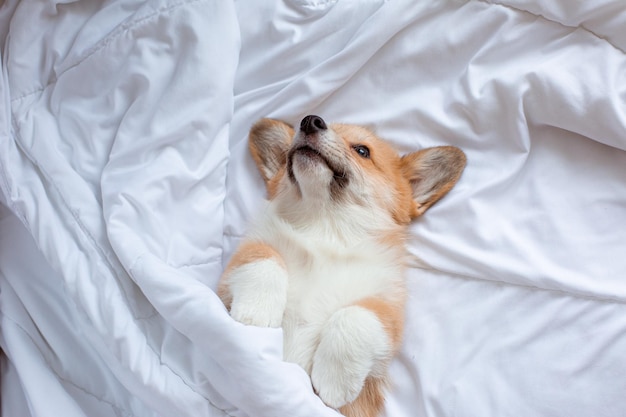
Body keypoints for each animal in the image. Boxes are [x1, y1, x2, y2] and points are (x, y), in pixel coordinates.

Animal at [217, 114, 466, 416]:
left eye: (362, 151)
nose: (310, 120)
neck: (325, 227)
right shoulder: (237, 267)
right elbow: (262, 256)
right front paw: (256, 314)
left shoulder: (388, 309)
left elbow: (355, 315)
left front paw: (334, 381)